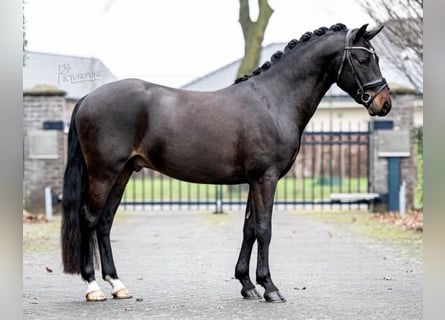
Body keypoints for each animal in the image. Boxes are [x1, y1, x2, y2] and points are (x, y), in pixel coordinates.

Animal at [61, 23, 388, 302]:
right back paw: (93, 287)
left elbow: (249, 229)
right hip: (104, 173)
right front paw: (270, 287)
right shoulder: (266, 178)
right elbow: (264, 229)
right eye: (362, 59)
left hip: (124, 172)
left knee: (105, 222)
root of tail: (88, 97)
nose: (384, 103)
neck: (273, 100)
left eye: (375, 57)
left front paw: (247, 285)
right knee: (89, 219)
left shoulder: (254, 180)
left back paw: (118, 285)